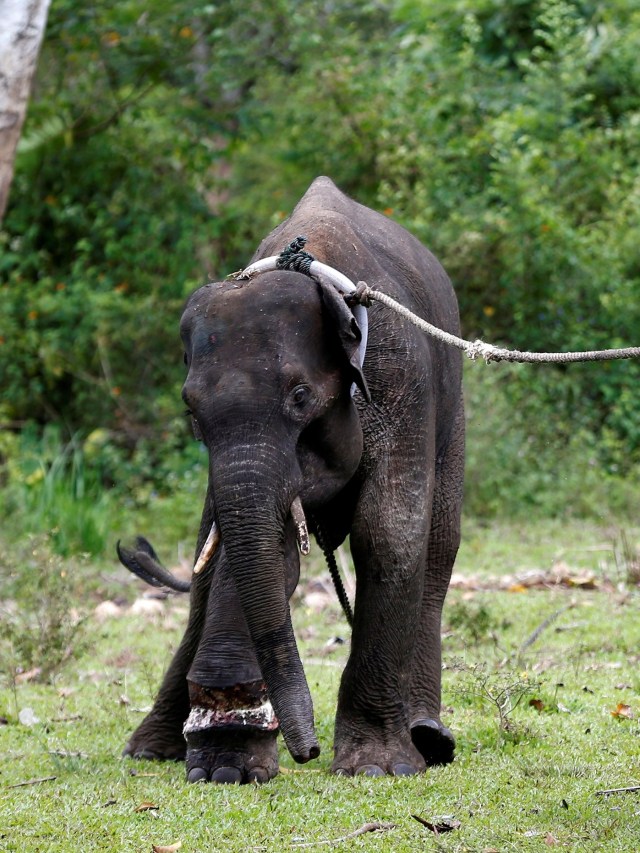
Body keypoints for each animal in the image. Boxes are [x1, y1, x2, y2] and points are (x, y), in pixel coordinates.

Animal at [116, 176, 464, 784]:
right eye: (190, 413)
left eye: (301, 397)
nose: (308, 751)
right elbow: (262, 550)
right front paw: (227, 766)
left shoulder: (405, 386)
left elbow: (388, 532)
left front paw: (377, 768)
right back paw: (150, 749)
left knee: (441, 545)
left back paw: (428, 738)